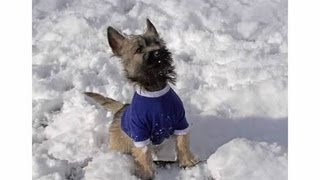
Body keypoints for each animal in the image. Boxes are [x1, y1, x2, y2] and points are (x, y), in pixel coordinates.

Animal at [85, 19, 198, 179]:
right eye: (138, 49)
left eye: (158, 42)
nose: (158, 52)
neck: (155, 88)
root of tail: (122, 107)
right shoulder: (139, 133)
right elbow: (143, 154)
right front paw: (146, 173)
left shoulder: (180, 122)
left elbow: (182, 142)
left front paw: (188, 162)